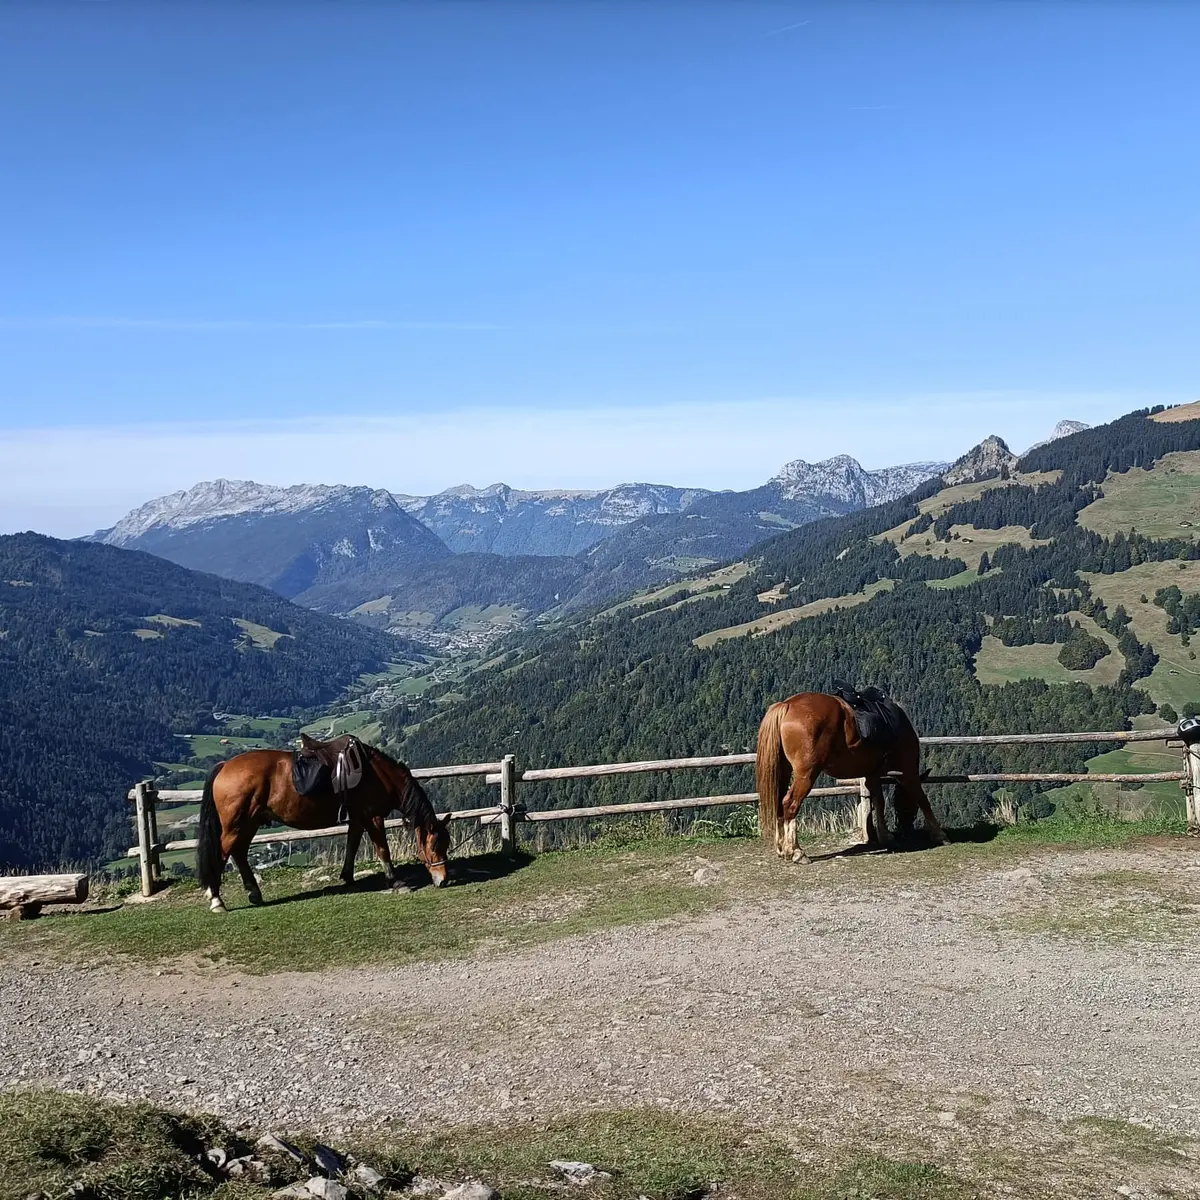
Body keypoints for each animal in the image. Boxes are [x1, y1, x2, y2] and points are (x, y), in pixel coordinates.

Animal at [195, 736, 451, 913]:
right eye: (434, 846)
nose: (443, 880)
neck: (378, 774)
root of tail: (225, 765)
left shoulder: (358, 817)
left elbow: (352, 845)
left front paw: (348, 877)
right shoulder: (373, 817)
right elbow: (382, 850)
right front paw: (396, 882)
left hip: (250, 822)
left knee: (239, 853)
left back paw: (254, 893)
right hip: (236, 825)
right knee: (222, 854)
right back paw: (217, 900)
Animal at [755, 690, 946, 862]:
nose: (906, 827)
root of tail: (787, 705)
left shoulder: (872, 775)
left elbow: (879, 802)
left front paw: (885, 836)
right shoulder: (907, 771)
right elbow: (922, 799)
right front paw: (939, 835)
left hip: (784, 770)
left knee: (779, 802)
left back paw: (781, 849)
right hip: (806, 774)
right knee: (790, 803)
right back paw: (795, 852)